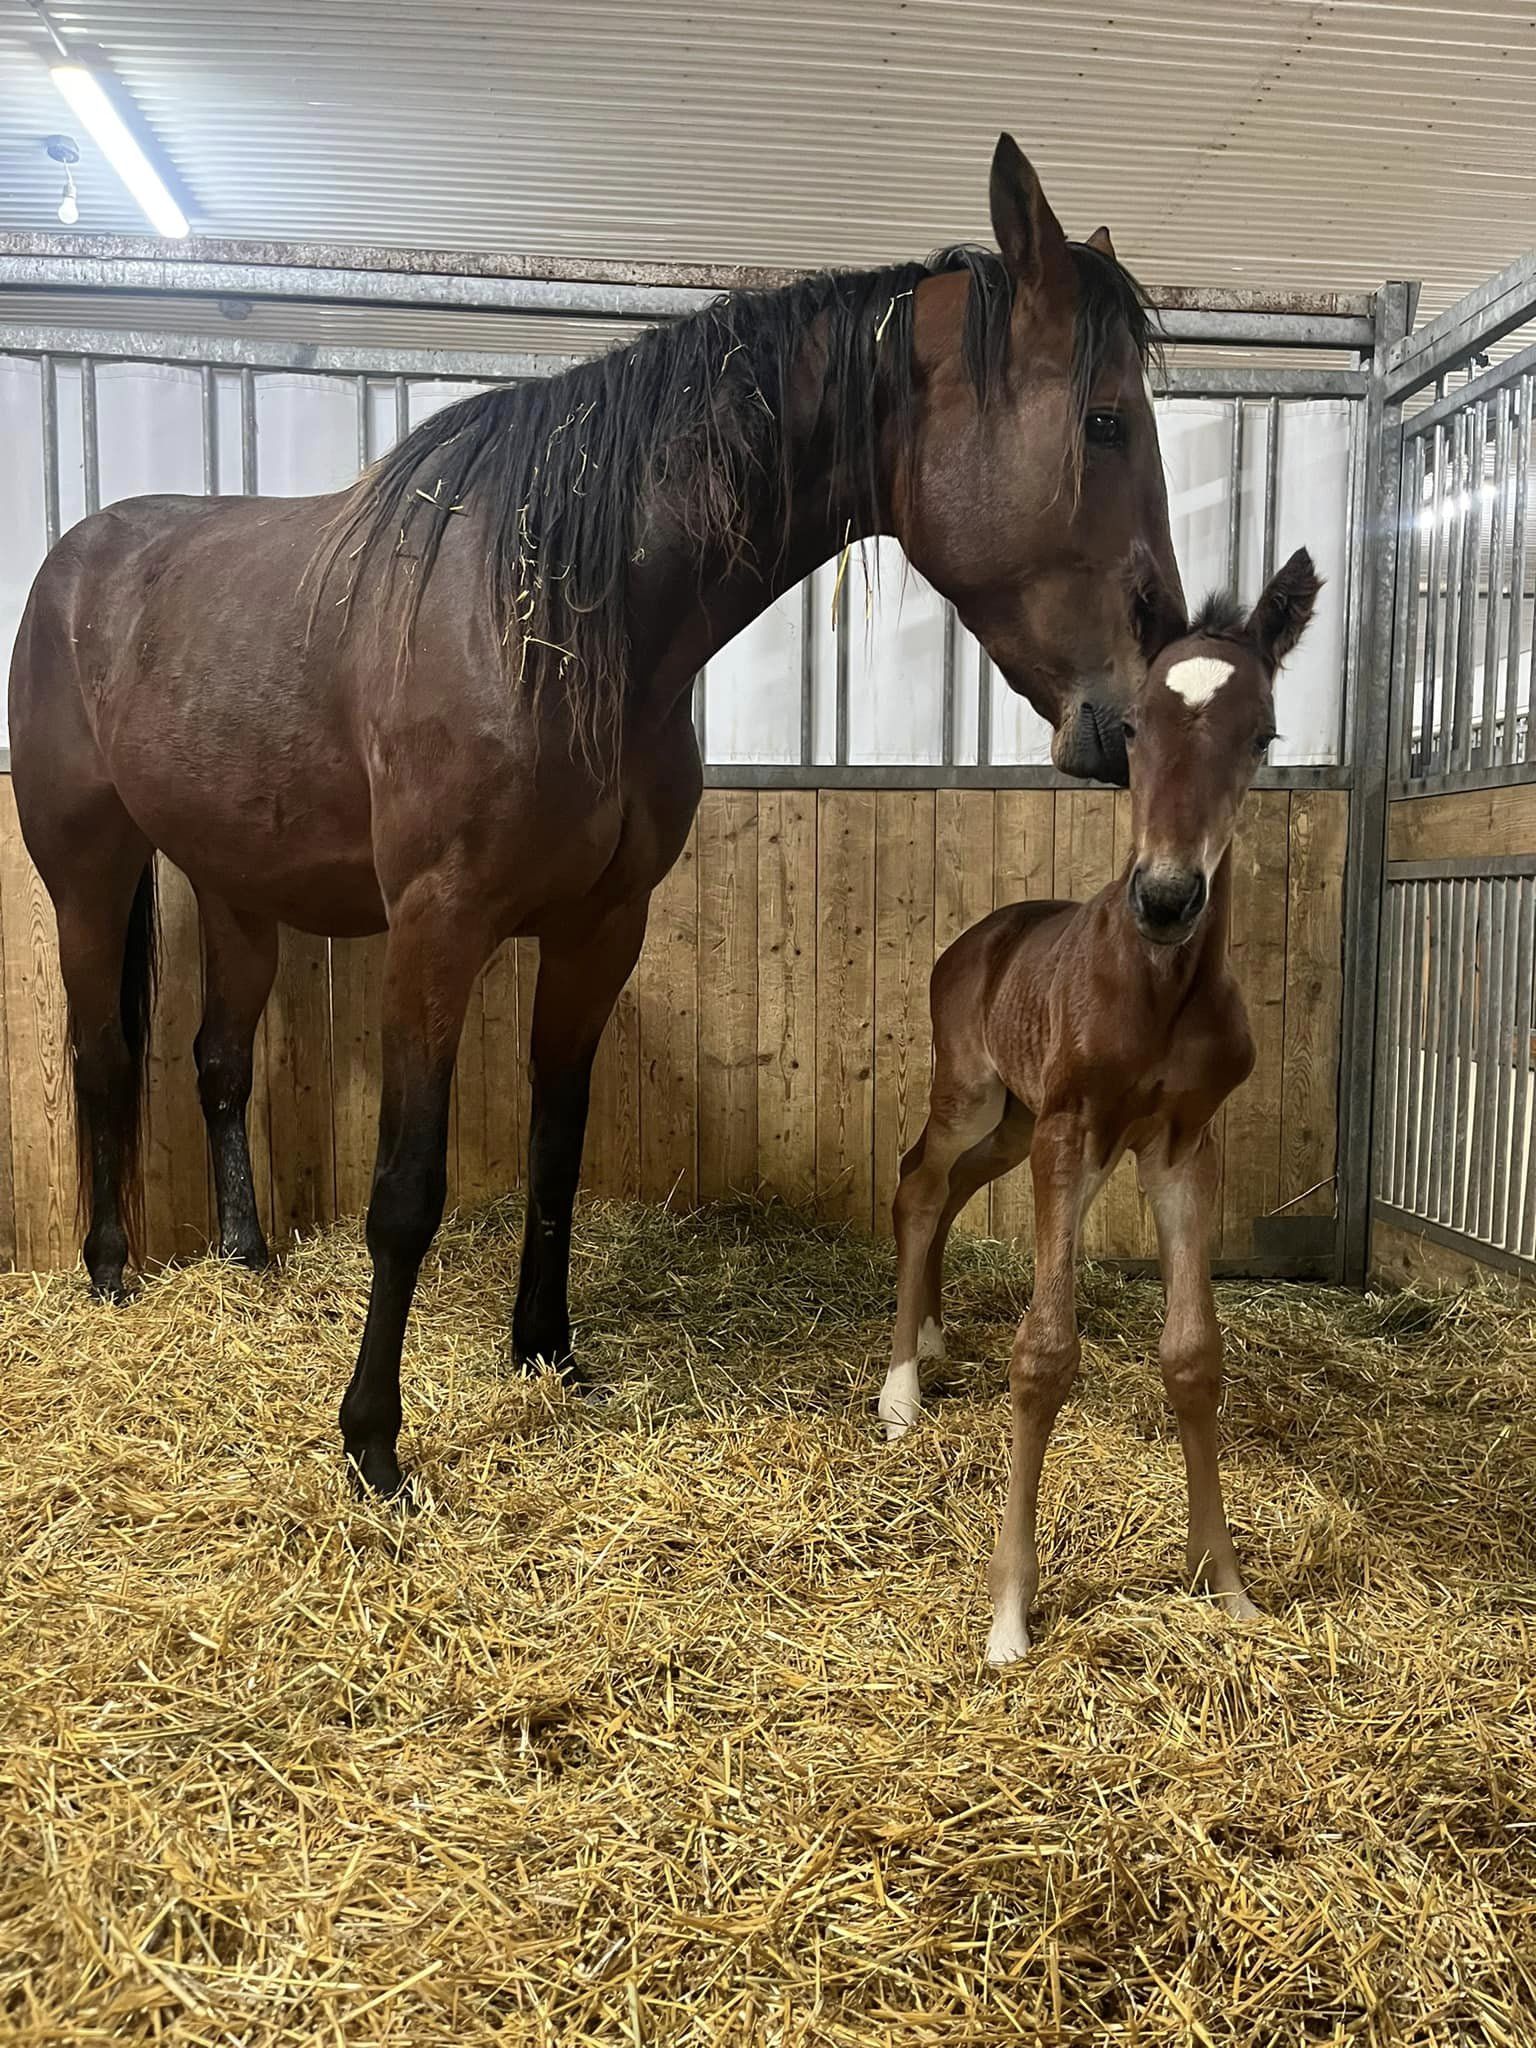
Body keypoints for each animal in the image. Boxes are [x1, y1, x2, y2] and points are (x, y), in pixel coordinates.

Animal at [884, 548, 1327, 1662]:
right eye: (1132, 728)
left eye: (1262, 735)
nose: (1166, 897)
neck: (1158, 986)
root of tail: (977, 937)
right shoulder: (1073, 1129)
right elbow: (1044, 1353)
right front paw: (1009, 1613)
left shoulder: (1179, 1144)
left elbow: (1194, 1353)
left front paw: (1226, 1584)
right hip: (979, 1097)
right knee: (919, 1183)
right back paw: (901, 1389)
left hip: (1012, 1125)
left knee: (951, 1192)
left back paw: (934, 1339)